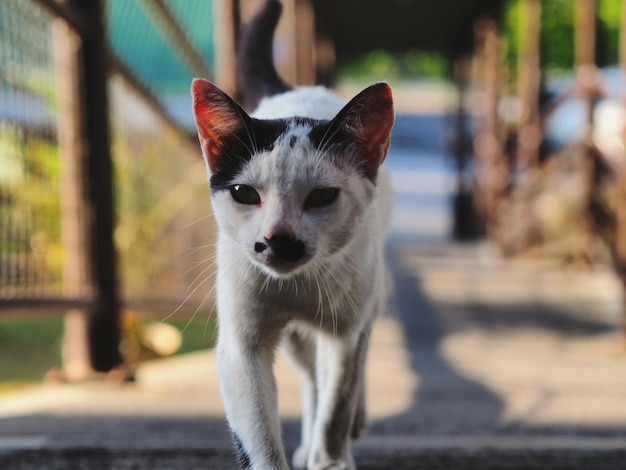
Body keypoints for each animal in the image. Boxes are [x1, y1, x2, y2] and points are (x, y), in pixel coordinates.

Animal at [190, 1, 392, 468]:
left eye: (321, 197)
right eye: (245, 193)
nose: (278, 239)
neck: (296, 285)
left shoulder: (345, 331)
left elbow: (338, 405)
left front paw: (332, 456)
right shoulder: (240, 347)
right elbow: (261, 437)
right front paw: (303, 452)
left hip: (370, 291)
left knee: (353, 363)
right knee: (311, 377)